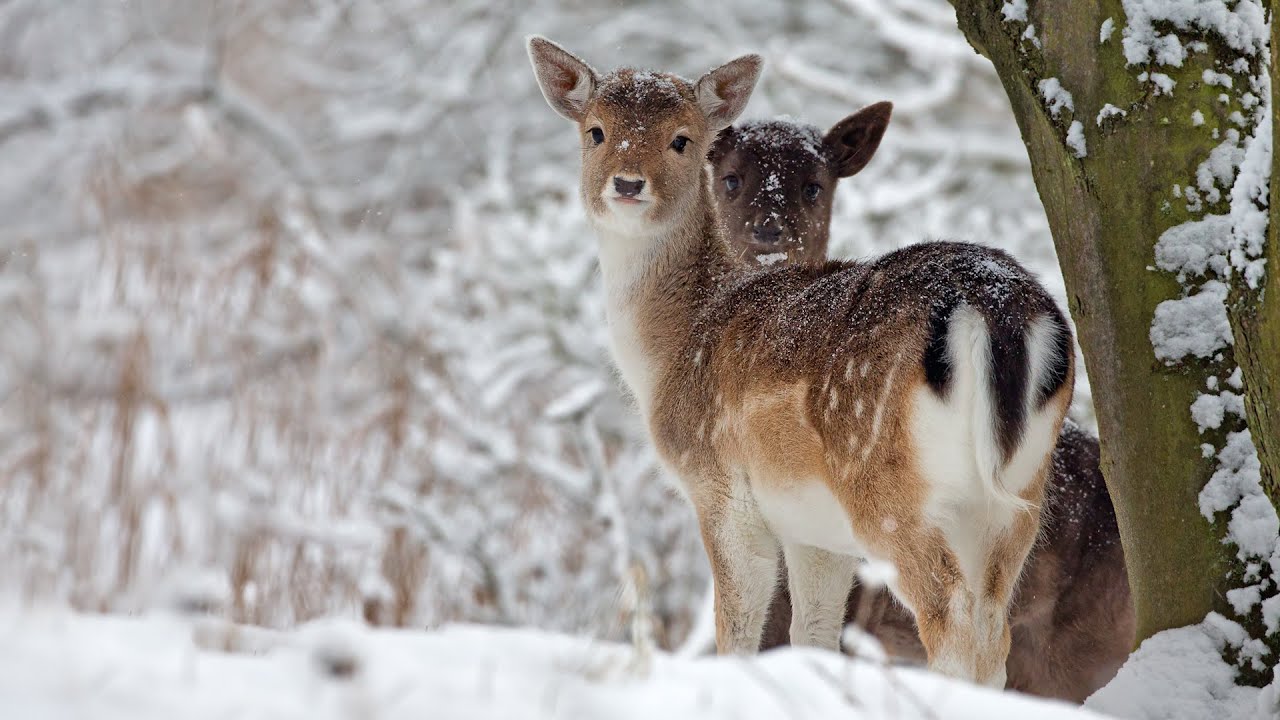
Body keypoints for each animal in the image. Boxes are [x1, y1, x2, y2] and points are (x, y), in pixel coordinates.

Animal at [524, 37, 1075, 681]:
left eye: (682, 139)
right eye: (595, 131)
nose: (628, 184)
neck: (669, 350)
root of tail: (997, 307)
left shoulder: (722, 490)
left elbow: (737, 629)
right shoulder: (815, 531)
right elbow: (812, 633)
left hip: (888, 488)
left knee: (952, 620)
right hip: (1018, 493)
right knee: (994, 630)